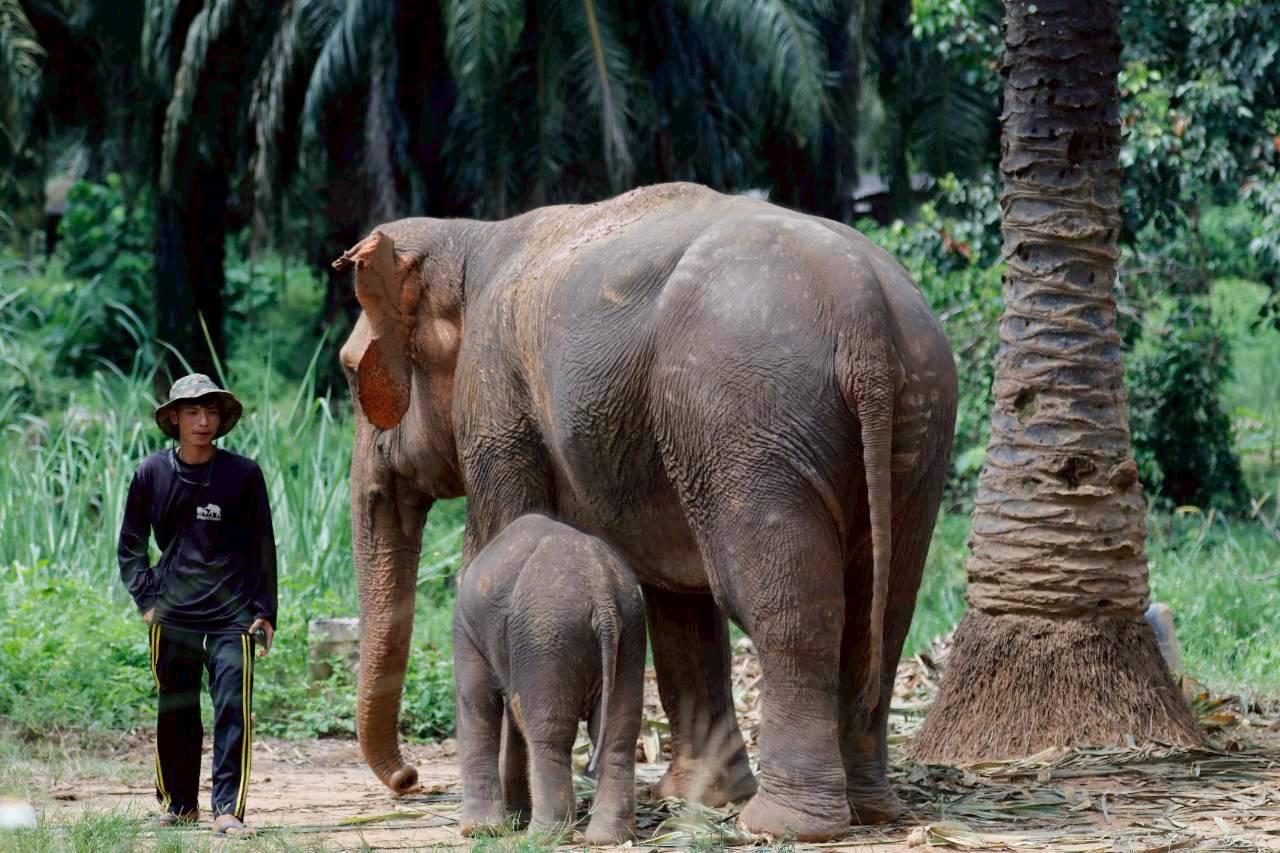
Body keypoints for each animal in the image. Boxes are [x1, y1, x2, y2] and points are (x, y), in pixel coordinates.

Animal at [453, 513, 646, 843]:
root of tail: (603, 594)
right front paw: (510, 819)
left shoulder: (468, 631)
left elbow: (478, 702)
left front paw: (479, 831)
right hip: (630, 632)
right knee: (618, 730)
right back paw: (607, 838)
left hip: (547, 636)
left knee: (548, 731)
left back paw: (542, 837)